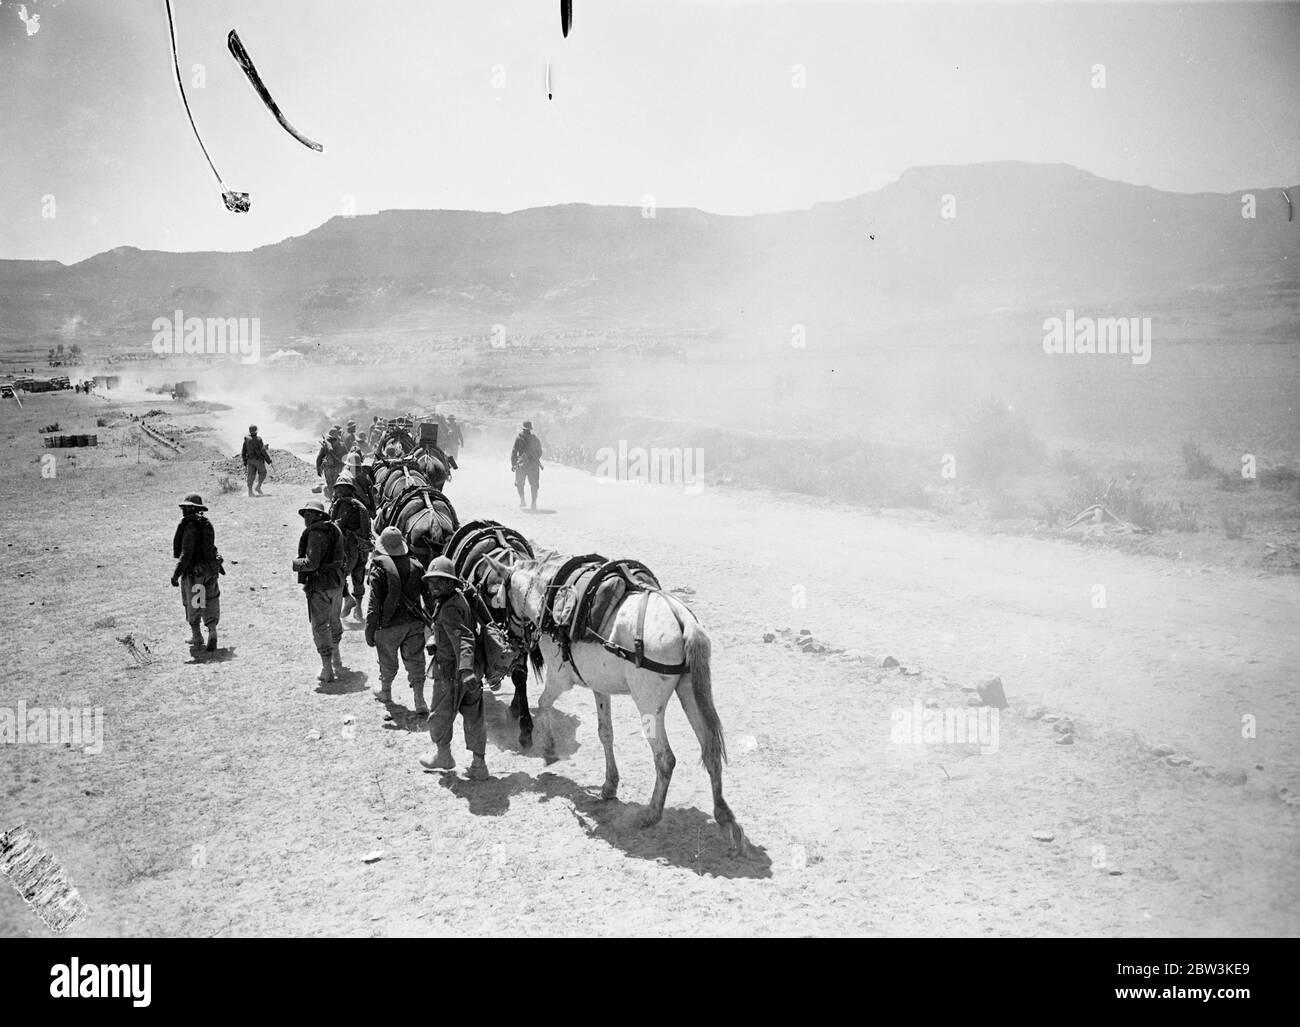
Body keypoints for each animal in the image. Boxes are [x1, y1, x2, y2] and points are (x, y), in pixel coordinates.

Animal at [488, 559, 748, 857]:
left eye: (501, 601)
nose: (506, 638)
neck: (549, 600)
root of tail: (683, 620)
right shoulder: (599, 687)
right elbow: (605, 733)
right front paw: (609, 785)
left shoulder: (559, 680)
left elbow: (542, 706)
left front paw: (549, 749)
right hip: (690, 693)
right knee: (711, 750)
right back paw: (724, 817)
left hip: (648, 704)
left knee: (665, 759)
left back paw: (651, 814)